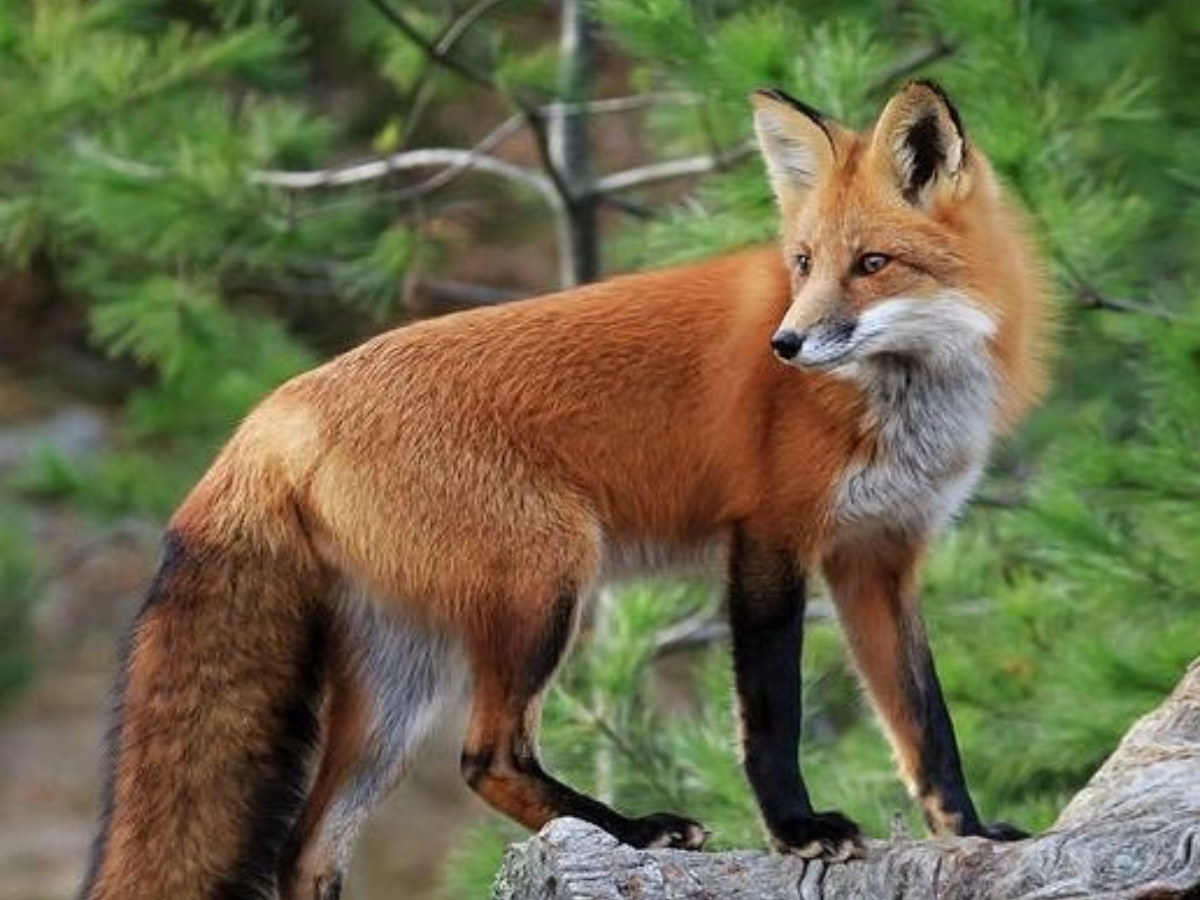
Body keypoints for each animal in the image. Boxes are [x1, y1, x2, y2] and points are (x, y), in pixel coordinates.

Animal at [80, 80, 1050, 900]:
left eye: (873, 263)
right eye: (804, 261)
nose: (783, 345)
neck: (905, 393)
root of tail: (275, 410)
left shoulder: (877, 557)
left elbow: (926, 723)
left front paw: (975, 834)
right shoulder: (770, 537)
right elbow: (773, 716)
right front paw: (800, 830)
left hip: (402, 674)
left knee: (308, 847)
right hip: (547, 580)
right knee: (486, 758)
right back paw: (632, 830)